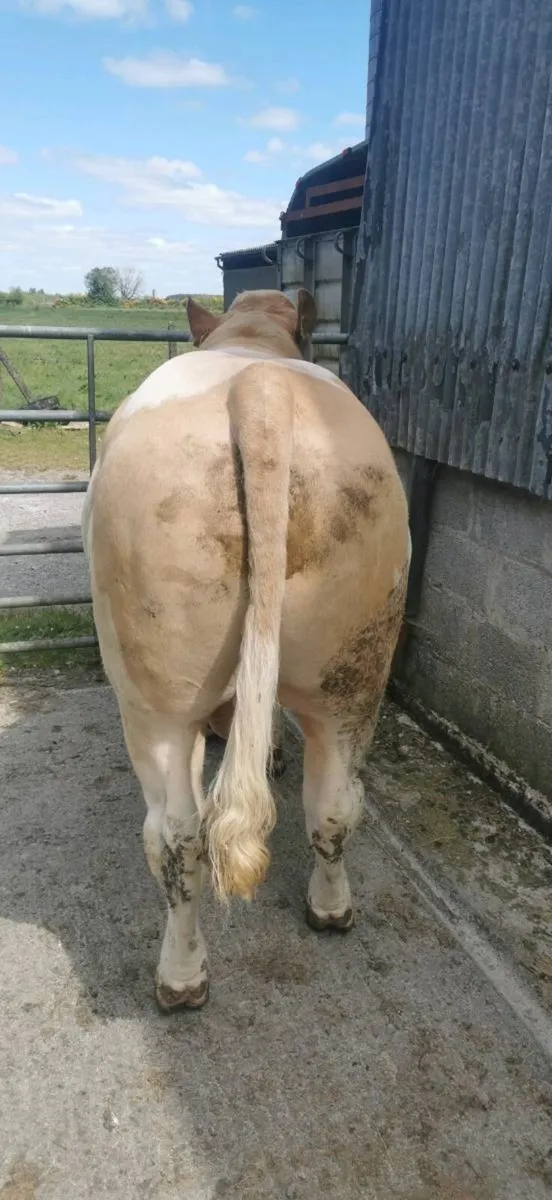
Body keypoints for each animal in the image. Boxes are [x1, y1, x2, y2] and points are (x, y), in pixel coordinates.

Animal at [82, 289, 410, 1013]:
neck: (253, 340)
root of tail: (260, 389)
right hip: (357, 663)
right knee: (334, 802)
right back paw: (331, 910)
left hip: (153, 696)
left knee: (175, 835)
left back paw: (180, 978)